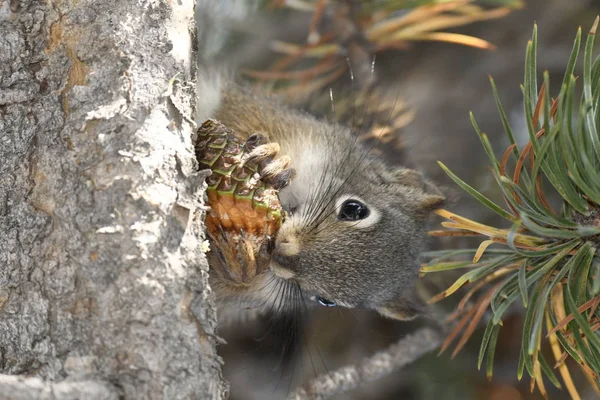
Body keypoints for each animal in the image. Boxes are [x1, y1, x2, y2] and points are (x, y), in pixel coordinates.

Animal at [195, 1, 442, 324]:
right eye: (354, 209)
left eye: (327, 301)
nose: (281, 256)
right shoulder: (272, 118)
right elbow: (235, 115)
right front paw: (274, 161)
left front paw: (236, 263)